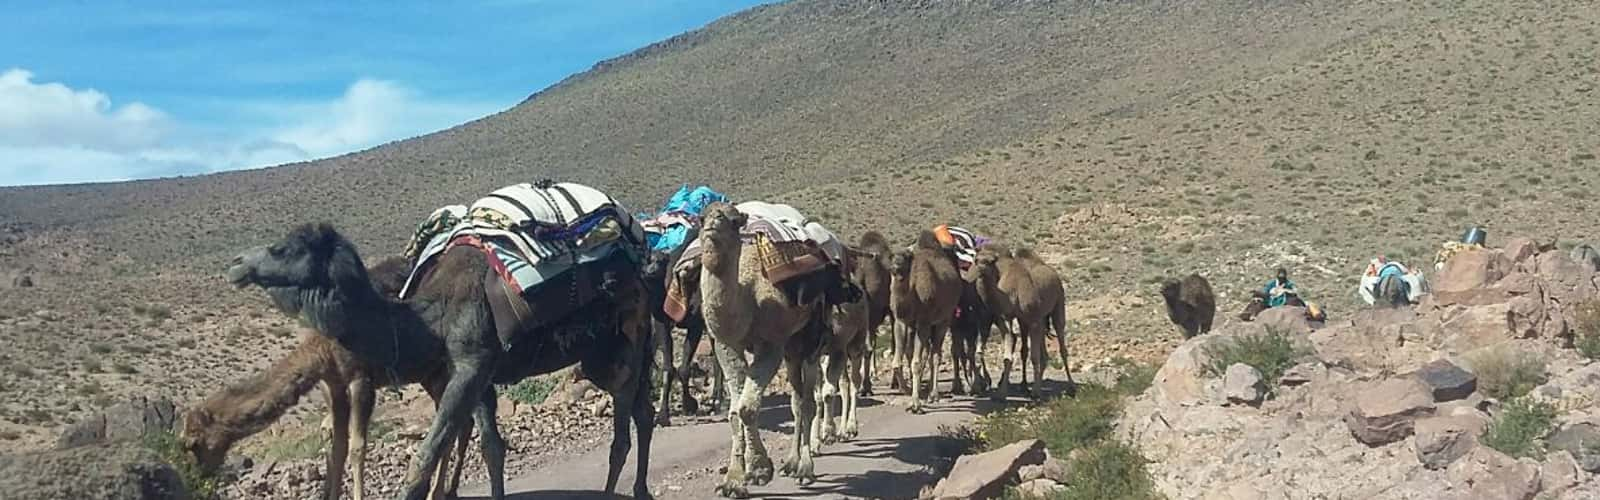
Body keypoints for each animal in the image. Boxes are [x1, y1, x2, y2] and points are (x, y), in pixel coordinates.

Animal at [222, 222, 652, 500]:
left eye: (282, 249)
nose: (237, 263)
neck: (429, 319)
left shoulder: (472, 364)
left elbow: (423, 459)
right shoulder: (476, 373)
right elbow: (490, 448)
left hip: (626, 340)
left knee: (623, 429)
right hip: (604, 353)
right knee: (642, 414)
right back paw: (640, 489)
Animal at [697, 203, 851, 496]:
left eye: (734, 220)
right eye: (702, 217)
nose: (714, 222)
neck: (746, 297)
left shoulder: (770, 344)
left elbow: (747, 408)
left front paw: (759, 470)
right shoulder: (726, 345)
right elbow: (734, 412)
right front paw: (734, 480)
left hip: (809, 340)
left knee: (808, 401)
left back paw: (805, 468)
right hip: (791, 350)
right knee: (797, 401)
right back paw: (791, 463)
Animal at [889, 232, 960, 413]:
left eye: (907, 257)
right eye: (891, 255)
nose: (896, 266)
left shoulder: (924, 322)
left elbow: (916, 362)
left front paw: (915, 404)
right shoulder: (901, 322)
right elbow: (897, 363)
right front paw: (907, 390)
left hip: (943, 320)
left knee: (935, 355)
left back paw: (933, 394)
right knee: (925, 353)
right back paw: (926, 392)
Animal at [960, 243, 1075, 400]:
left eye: (991, 261)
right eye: (976, 259)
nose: (981, 268)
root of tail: (1052, 272)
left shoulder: (1032, 320)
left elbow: (1034, 356)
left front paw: (1035, 392)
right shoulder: (1007, 317)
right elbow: (1009, 355)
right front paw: (1001, 393)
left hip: (1058, 303)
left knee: (1061, 344)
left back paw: (1071, 387)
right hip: (1035, 319)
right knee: (1040, 353)